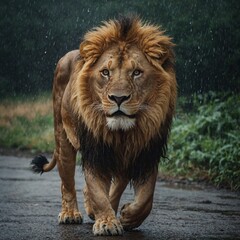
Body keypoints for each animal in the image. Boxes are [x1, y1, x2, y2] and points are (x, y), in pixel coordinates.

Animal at [30, 16, 176, 236]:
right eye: (105, 72)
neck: (123, 133)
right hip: (62, 138)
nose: (118, 98)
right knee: (67, 182)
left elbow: (146, 197)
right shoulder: (95, 150)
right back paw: (70, 214)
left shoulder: (147, 151)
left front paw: (128, 216)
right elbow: (98, 191)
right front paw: (107, 223)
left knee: (116, 182)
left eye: (137, 72)